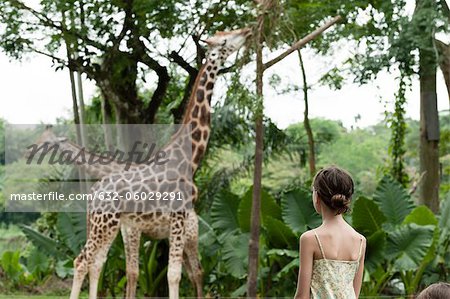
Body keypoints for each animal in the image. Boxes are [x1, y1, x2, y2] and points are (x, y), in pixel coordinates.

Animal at [67, 27, 251, 298]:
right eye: (226, 39)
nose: (248, 31)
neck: (189, 158)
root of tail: (93, 194)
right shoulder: (177, 215)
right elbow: (173, 275)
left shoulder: (174, 221)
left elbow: (171, 273)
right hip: (106, 222)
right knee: (81, 261)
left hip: (107, 224)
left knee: (96, 262)